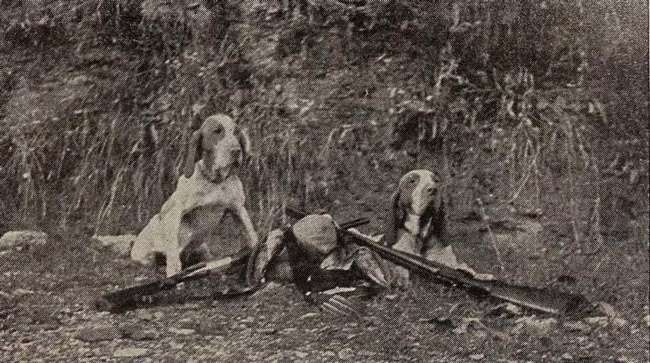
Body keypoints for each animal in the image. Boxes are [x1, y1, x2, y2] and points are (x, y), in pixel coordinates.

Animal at [130, 114, 260, 278]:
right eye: (217, 131)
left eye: (236, 132)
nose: (236, 151)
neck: (214, 182)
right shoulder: (175, 211)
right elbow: (172, 249)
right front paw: (173, 272)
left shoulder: (238, 208)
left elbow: (251, 234)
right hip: (146, 251)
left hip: (202, 248)